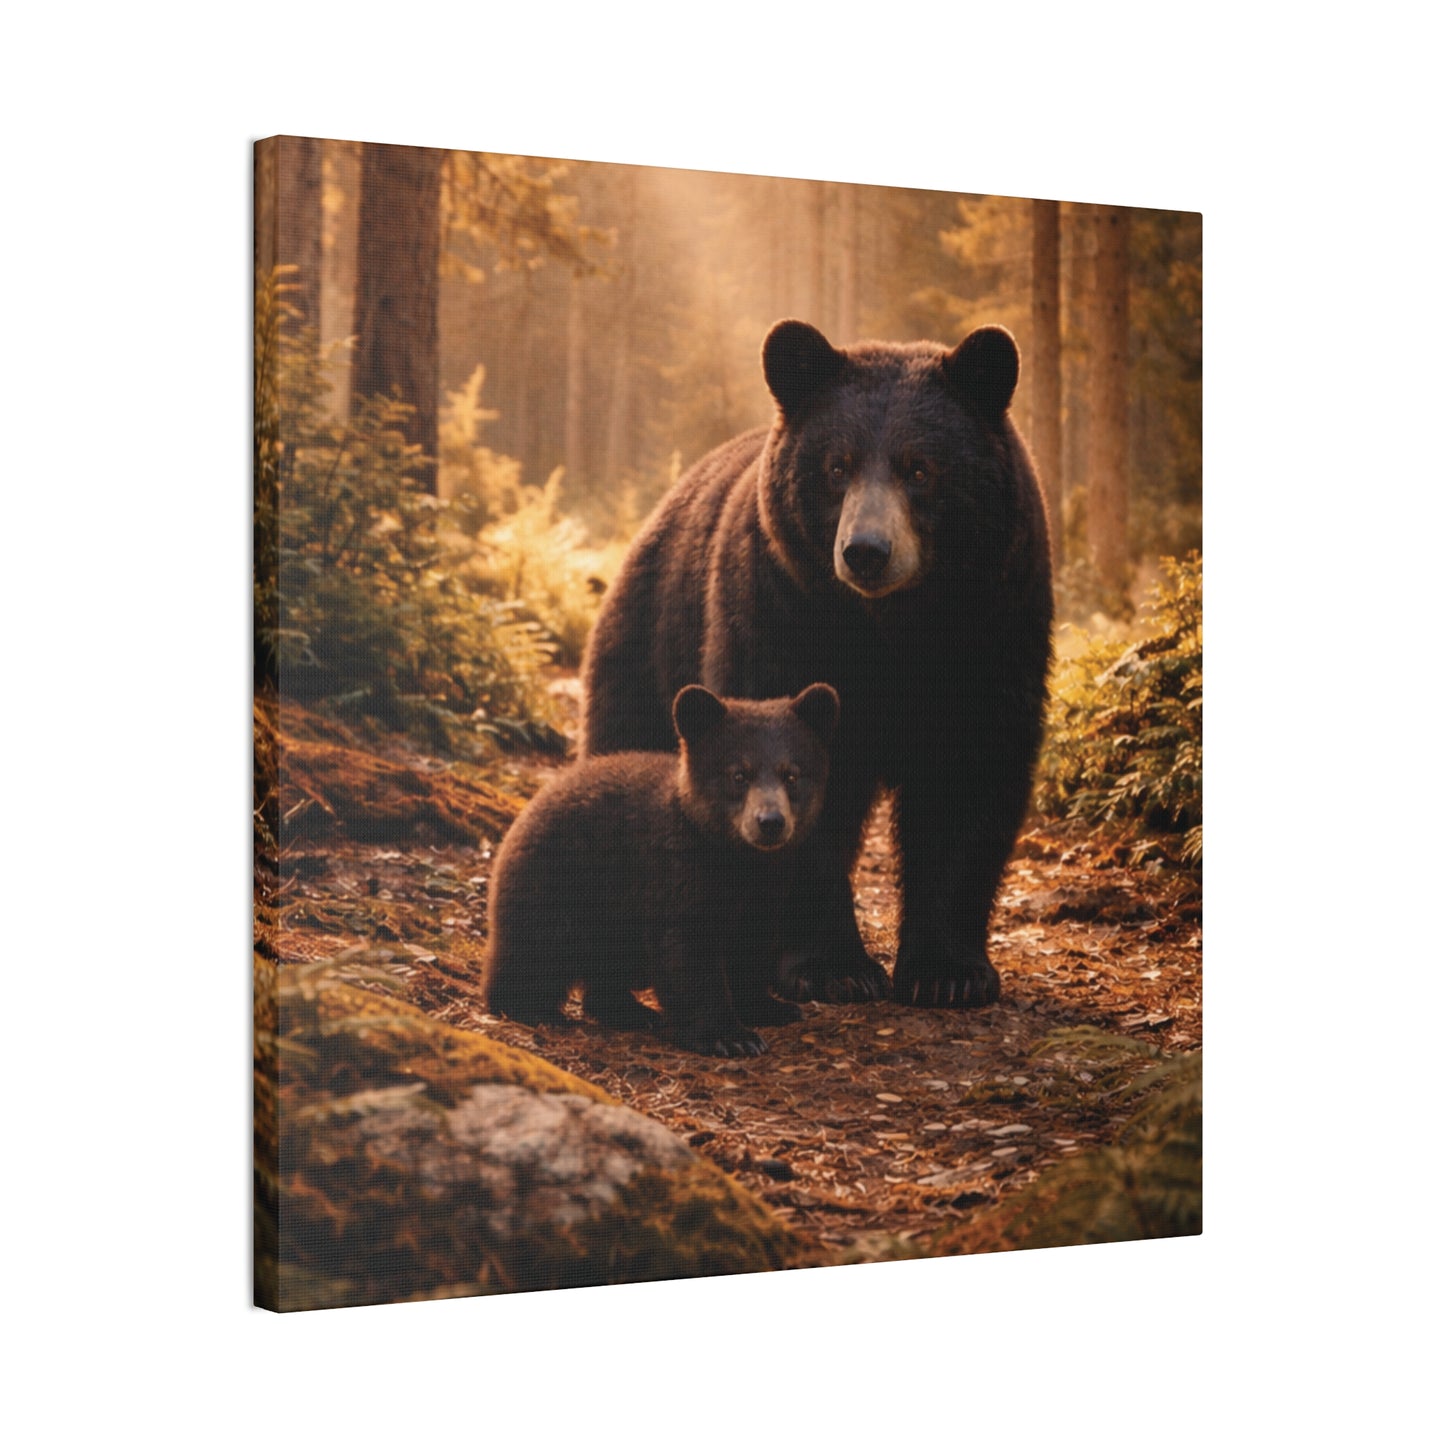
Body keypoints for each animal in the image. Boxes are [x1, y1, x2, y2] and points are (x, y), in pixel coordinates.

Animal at [483, 683, 839, 1057]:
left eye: (792, 774)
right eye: (738, 774)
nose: (770, 822)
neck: (735, 859)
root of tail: (526, 810)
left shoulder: (767, 887)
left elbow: (750, 945)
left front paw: (770, 1007)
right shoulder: (674, 873)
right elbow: (687, 951)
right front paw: (731, 1036)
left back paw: (631, 1011)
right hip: (558, 886)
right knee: (536, 951)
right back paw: (533, 1008)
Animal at [580, 320, 1053, 1009]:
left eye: (920, 467)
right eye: (837, 466)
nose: (866, 551)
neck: (891, 628)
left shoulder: (993, 628)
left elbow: (968, 777)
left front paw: (948, 972)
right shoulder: (782, 614)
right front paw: (833, 966)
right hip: (650, 643)